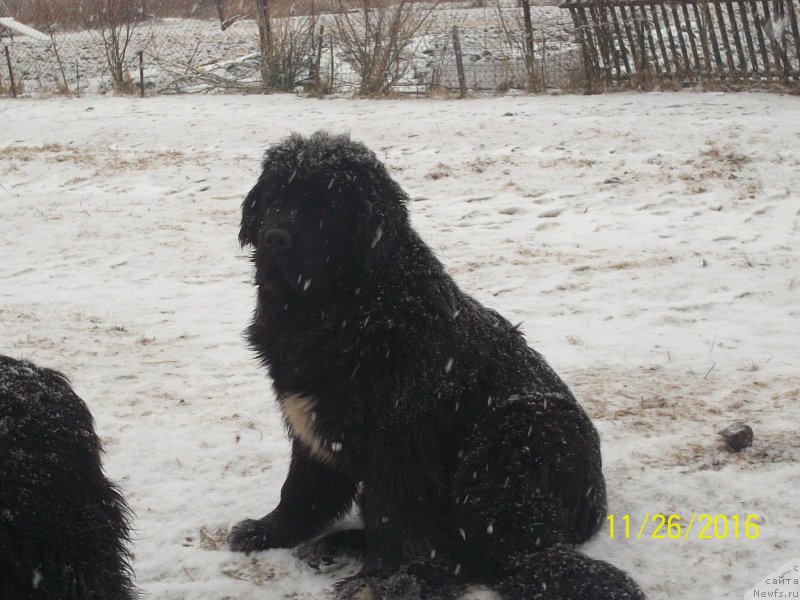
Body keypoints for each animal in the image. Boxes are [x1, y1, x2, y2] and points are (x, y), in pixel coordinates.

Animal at [230, 132, 644, 600]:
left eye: (325, 207)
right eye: (275, 198)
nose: (274, 238)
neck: (343, 309)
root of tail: (594, 505)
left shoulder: (401, 439)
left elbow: (393, 518)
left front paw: (379, 578)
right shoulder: (310, 422)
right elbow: (301, 487)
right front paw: (269, 530)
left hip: (516, 436)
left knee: (487, 556)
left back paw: (404, 580)